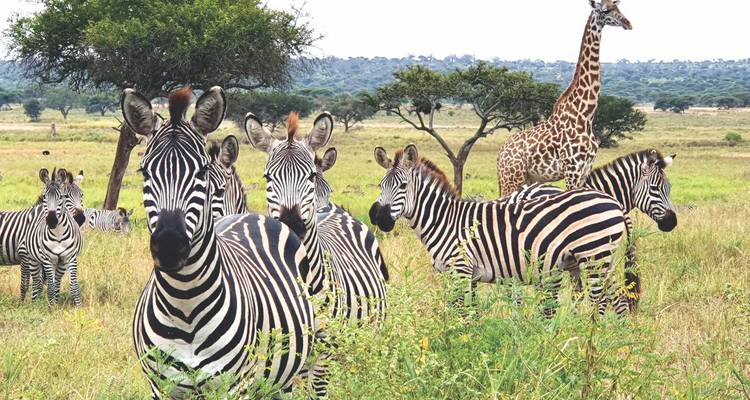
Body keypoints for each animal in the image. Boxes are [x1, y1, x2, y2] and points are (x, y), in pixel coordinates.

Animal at [123, 86, 315, 398]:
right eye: (145, 172)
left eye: (201, 173)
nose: (169, 246)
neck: (185, 304)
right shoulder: (160, 387)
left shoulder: (234, 387)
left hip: (285, 377)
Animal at [244, 112, 389, 398]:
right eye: (267, 178)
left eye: (310, 176)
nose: (292, 224)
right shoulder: (288, 350)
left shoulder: (325, 349)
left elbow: (318, 391)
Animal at [370, 144, 630, 315]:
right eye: (381, 185)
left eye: (403, 186)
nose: (379, 218)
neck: (444, 220)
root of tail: (613, 202)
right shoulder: (469, 275)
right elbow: (472, 313)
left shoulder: (460, 270)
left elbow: (460, 313)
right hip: (599, 261)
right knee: (617, 300)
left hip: (594, 257)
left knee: (601, 301)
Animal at [496, 0, 632, 196]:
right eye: (606, 10)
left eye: (618, 6)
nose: (628, 23)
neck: (585, 115)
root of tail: (500, 155)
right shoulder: (572, 169)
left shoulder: (585, 169)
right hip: (511, 178)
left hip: (525, 178)